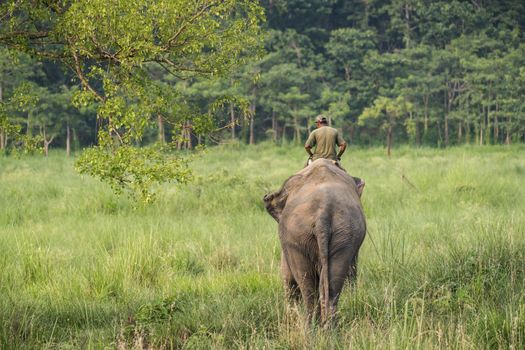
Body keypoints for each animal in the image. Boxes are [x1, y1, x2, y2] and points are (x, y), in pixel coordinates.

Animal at [262, 159, 364, 326]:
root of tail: (323, 214)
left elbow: (287, 275)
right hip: (344, 235)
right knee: (332, 285)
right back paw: (328, 328)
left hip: (298, 237)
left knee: (307, 286)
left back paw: (312, 327)